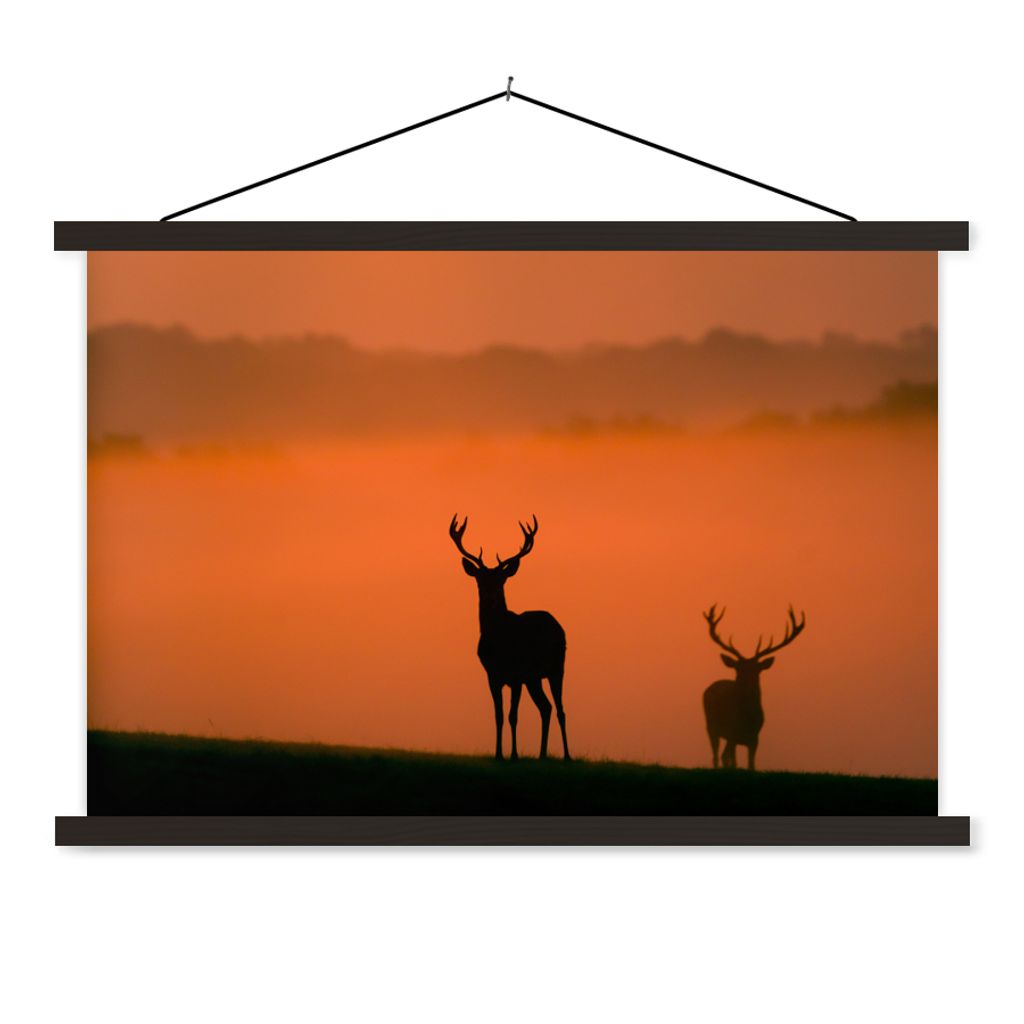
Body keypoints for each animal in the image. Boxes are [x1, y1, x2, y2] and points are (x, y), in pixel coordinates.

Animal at [449, 514, 570, 761]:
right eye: (480, 580)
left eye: (501, 580)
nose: (491, 597)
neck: (499, 643)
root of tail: (558, 625)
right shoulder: (492, 675)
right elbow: (499, 716)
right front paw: (498, 754)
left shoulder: (516, 675)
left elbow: (513, 716)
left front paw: (513, 755)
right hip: (534, 678)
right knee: (546, 707)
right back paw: (542, 755)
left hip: (556, 667)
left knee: (560, 710)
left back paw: (567, 756)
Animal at [701, 604, 806, 770]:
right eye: (737, 668)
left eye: (756, 669)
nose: (743, 683)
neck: (747, 717)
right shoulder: (732, 732)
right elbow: (731, 761)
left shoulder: (755, 737)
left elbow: (751, 764)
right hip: (711, 725)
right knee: (716, 755)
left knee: (725, 756)